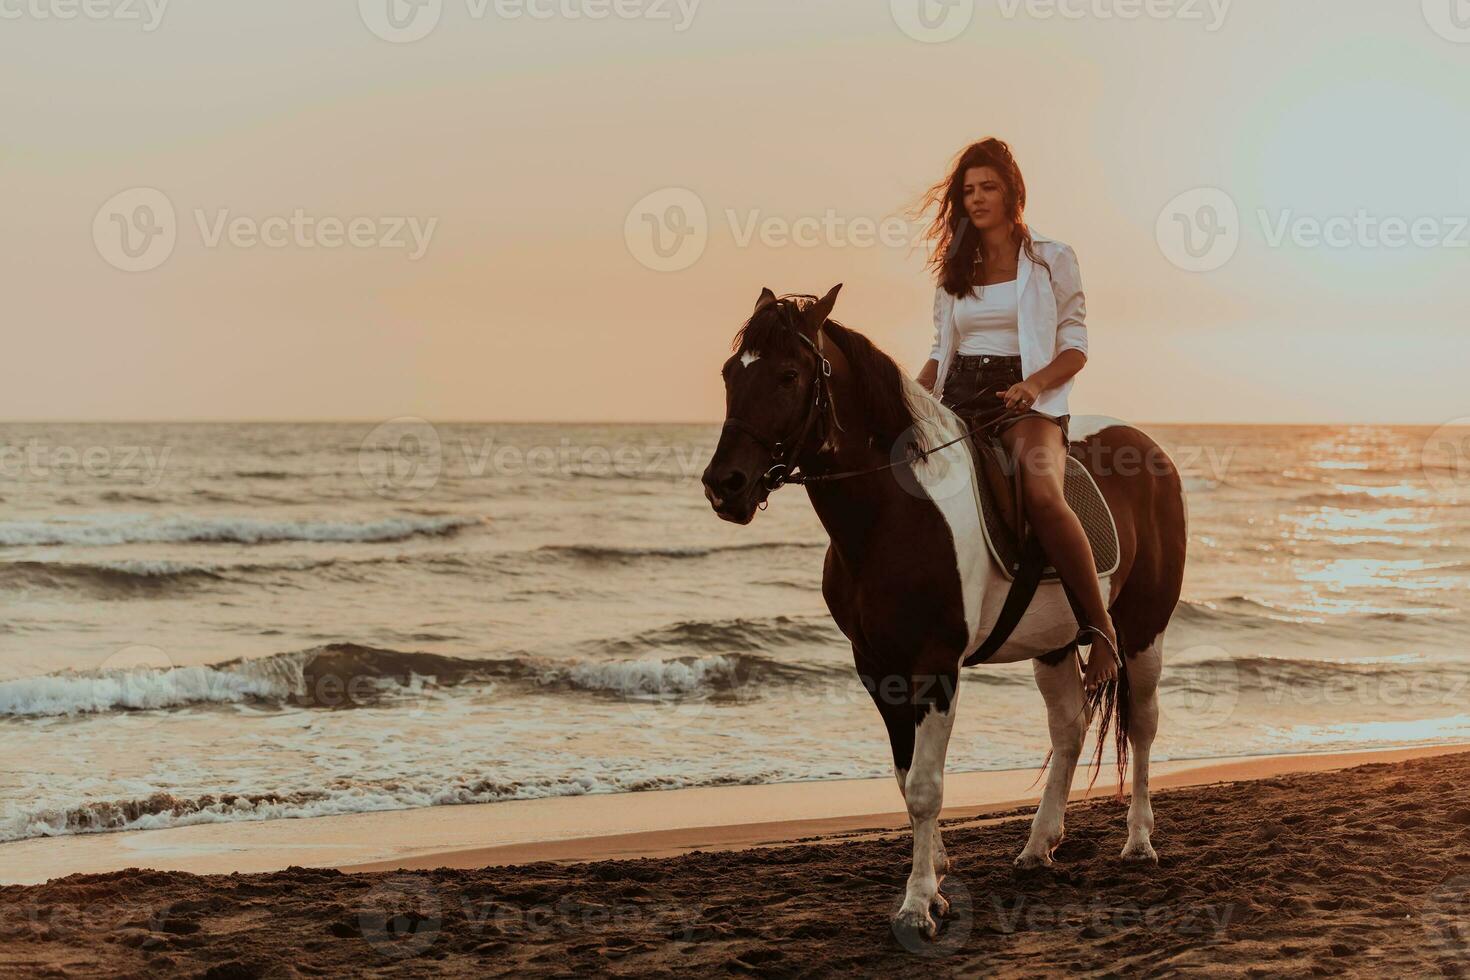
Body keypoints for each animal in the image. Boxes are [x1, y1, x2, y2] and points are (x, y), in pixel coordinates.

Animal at [699, 285, 1193, 940]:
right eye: (732, 372)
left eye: (788, 375)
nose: (724, 485)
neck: (893, 513)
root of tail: (1152, 451)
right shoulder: (876, 667)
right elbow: (906, 778)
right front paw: (933, 885)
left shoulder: (936, 666)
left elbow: (927, 788)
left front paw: (917, 907)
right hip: (1054, 643)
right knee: (1068, 729)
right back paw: (1038, 847)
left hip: (1142, 633)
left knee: (1141, 724)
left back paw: (1138, 842)